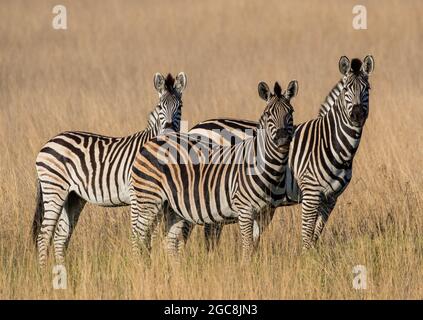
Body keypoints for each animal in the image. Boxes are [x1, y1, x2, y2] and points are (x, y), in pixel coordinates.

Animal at [34, 72, 190, 264]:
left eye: (180, 106)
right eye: (160, 107)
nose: (169, 134)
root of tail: (50, 141)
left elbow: (151, 237)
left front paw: (151, 264)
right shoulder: (137, 197)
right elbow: (140, 235)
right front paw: (139, 265)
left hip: (72, 197)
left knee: (59, 237)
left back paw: (61, 268)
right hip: (54, 190)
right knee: (44, 236)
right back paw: (43, 270)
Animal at [129, 80, 298, 260]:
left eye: (291, 112)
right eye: (268, 113)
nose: (282, 139)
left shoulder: (264, 211)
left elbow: (254, 245)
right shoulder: (246, 209)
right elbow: (247, 248)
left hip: (171, 206)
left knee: (168, 241)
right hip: (150, 199)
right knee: (139, 235)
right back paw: (141, 264)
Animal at [190, 55, 376, 250]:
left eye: (368, 88)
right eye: (347, 88)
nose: (357, 115)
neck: (329, 142)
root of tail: (195, 128)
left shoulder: (331, 198)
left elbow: (316, 233)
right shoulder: (310, 192)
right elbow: (307, 233)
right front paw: (307, 256)